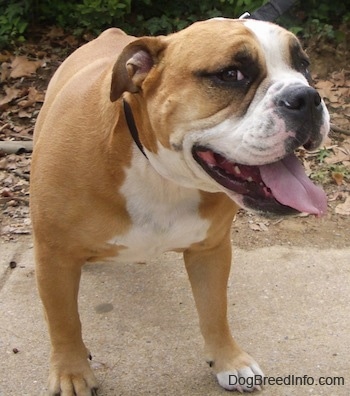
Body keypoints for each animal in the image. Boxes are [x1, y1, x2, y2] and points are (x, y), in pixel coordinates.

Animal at [30, 19, 328, 396]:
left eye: (304, 66)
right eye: (230, 74)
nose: (307, 97)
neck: (159, 174)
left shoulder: (210, 251)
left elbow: (215, 310)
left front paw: (228, 361)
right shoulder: (53, 256)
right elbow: (64, 322)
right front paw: (72, 373)